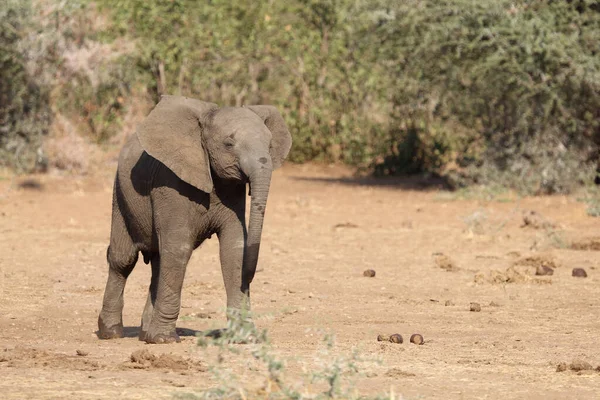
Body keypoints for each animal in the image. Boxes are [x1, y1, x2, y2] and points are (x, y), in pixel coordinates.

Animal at [97, 94, 292, 344]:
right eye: (229, 144)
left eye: (269, 145)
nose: (250, 276)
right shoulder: (170, 184)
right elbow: (179, 248)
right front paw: (164, 339)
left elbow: (233, 249)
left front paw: (246, 338)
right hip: (120, 195)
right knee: (123, 259)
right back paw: (111, 332)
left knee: (159, 261)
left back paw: (145, 335)